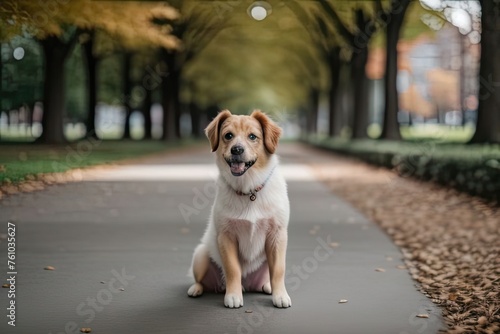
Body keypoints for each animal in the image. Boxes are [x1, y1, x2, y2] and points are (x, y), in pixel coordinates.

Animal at [188, 109, 292, 308]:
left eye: (252, 136)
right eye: (228, 135)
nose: (236, 149)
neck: (249, 190)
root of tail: (249, 284)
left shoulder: (277, 235)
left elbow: (279, 270)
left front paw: (280, 295)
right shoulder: (226, 237)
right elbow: (232, 269)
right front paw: (233, 296)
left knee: (268, 276)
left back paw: (267, 287)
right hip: (200, 254)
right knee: (200, 280)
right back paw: (196, 289)